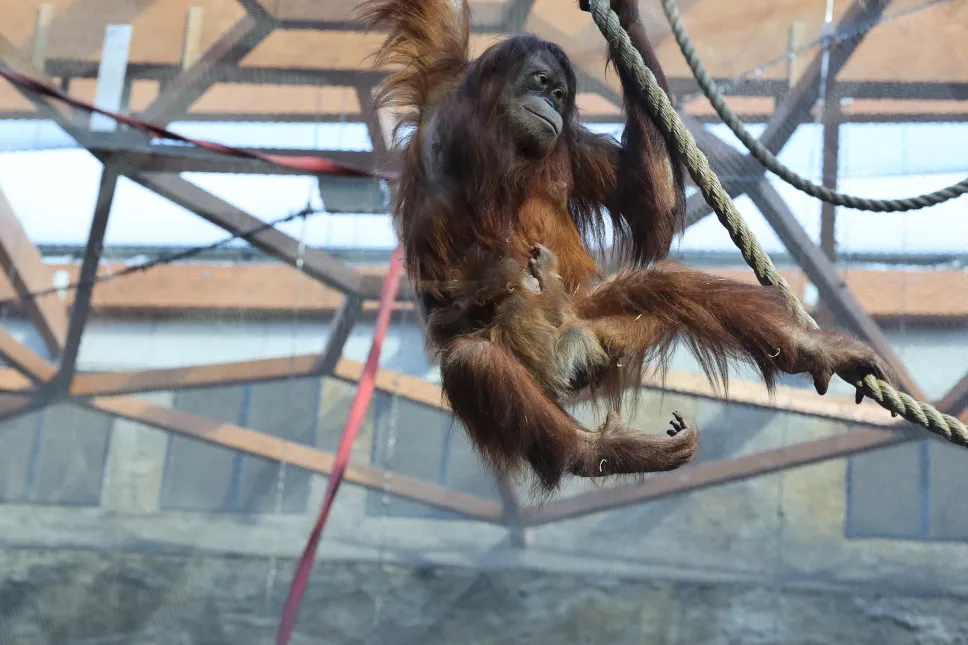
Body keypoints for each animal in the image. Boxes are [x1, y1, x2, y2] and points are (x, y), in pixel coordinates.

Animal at [357, 0, 893, 493]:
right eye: (539, 82)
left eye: (559, 93)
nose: (550, 105)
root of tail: (571, 355)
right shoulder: (442, 89)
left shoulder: (565, 143)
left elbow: (650, 205)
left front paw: (627, 12)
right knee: (474, 360)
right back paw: (600, 450)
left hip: (599, 328)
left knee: (663, 282)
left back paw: (816, 351)